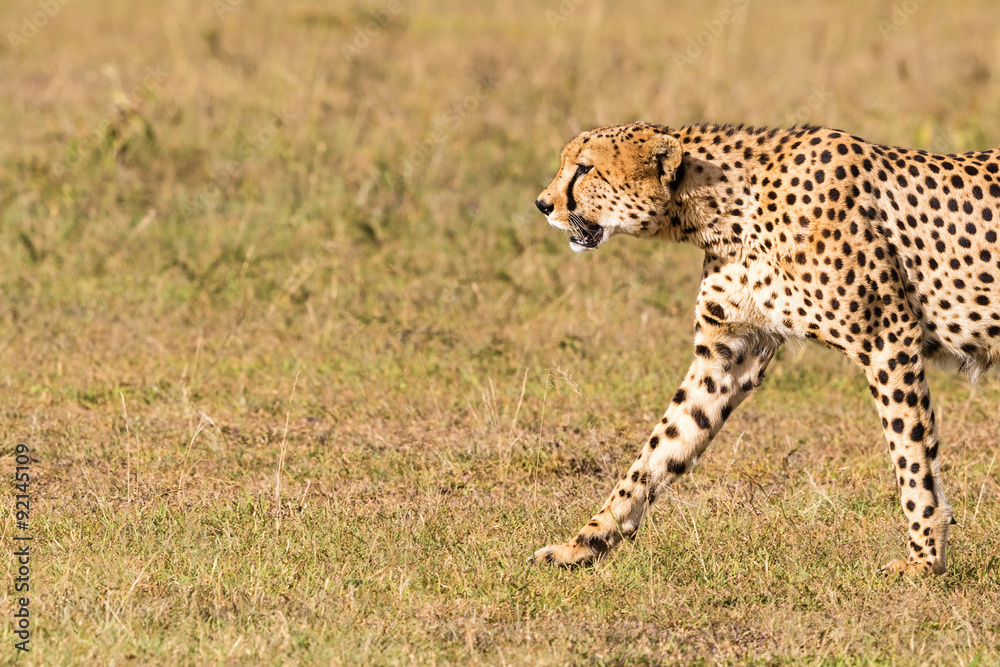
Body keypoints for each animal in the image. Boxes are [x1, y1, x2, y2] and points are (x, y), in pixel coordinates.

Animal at [530, 121, 1000, 576]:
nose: (542, 204)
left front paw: (925, 559)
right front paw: (583, 543)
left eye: (585, 168)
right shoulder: (728, 355)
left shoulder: (889, 338)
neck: (722, 209)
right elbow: (661, 448)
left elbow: (911, 455)